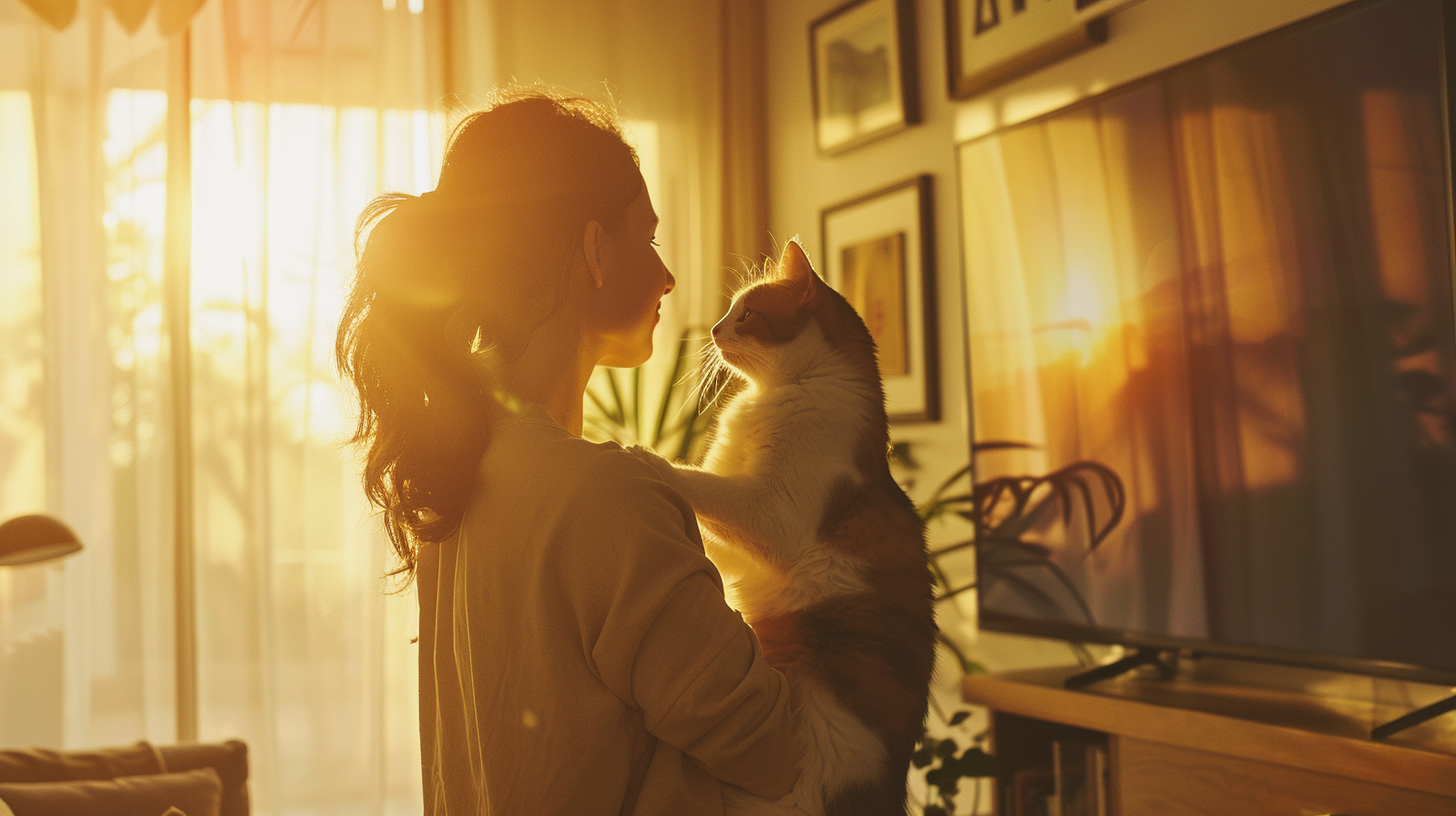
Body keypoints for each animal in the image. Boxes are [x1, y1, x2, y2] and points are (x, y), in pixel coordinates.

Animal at [634, 238, 931, 816]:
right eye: (731, 311)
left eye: (746, 314)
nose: (714, 329)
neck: (772, 397)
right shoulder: (737, 538)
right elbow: (709, 510)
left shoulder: (770, 514)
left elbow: (695, 481)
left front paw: (636, 454)